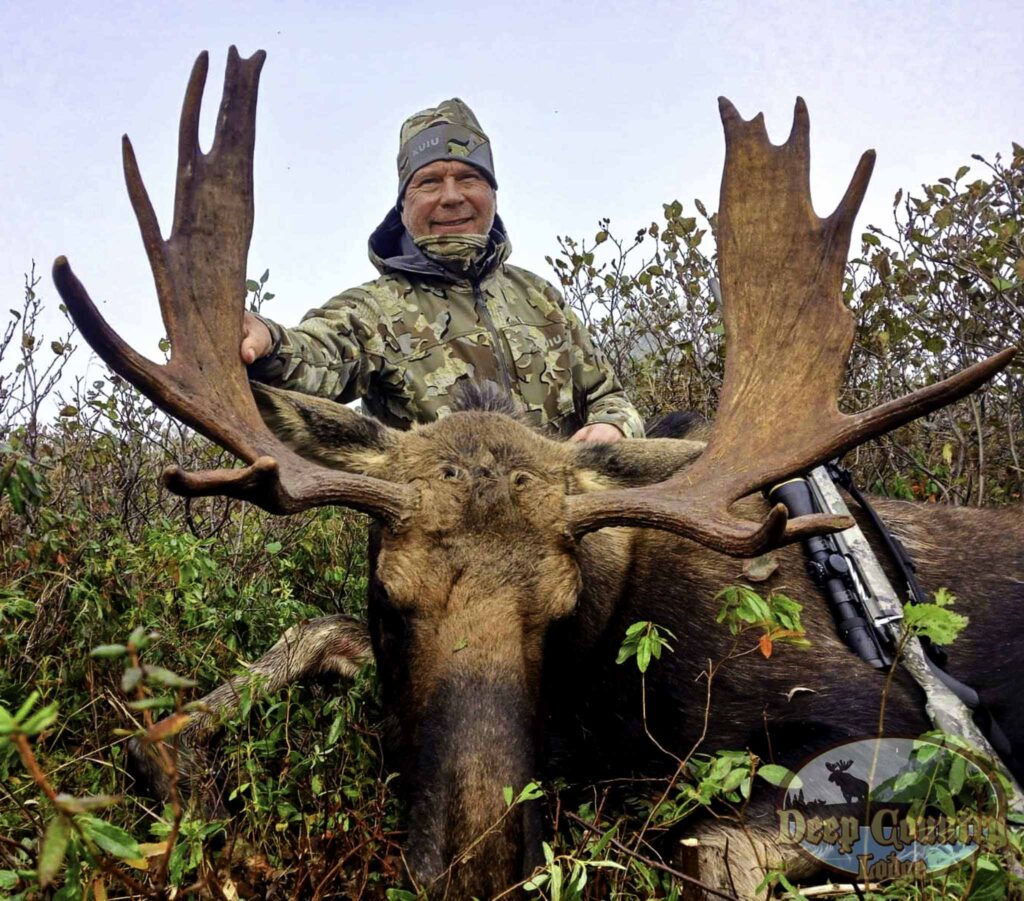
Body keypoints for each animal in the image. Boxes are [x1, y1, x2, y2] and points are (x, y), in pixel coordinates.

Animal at [53, 48, 1021, 898]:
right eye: (390, 595)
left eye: (561, 610)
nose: (473, 870)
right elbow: (291, 647)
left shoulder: (901, 740)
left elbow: (714, 846)